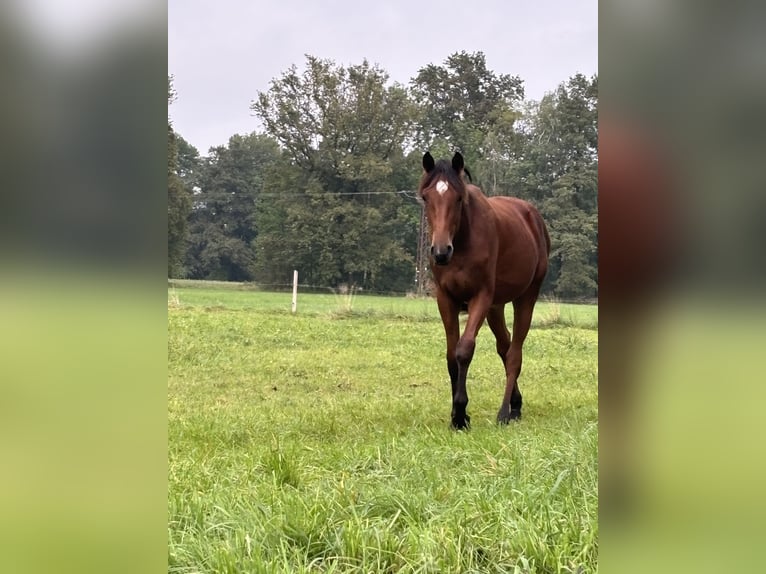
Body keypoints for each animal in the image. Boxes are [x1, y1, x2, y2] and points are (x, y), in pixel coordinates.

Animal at [420, 151, 552, 430]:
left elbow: (464, 350)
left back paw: (504, 412)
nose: (441, 251)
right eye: (426, 197)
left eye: (459, 198)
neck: (462, 242)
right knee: (505, 346)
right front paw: (457, 415)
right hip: (496, 307)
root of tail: (533, 217)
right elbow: (451, 356)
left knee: (514, 353)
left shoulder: (480, 297)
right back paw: (516, 405)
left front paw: (461, 414)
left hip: (526, 297)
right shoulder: (445, 299)